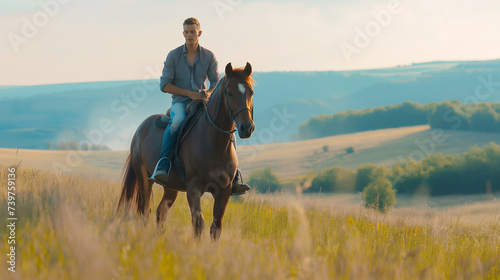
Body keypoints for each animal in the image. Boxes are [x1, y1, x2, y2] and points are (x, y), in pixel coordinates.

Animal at [117, 62, 254, 240]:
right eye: (229, 93)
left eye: (251, 92)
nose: (247, 127)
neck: (214, 142)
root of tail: (140, 128)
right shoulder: (193, 189)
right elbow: (198, 224)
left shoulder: (224, 191)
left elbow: (216, 228)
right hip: (144, 180)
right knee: (145, 211)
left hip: (170, 187)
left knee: (160, 212)